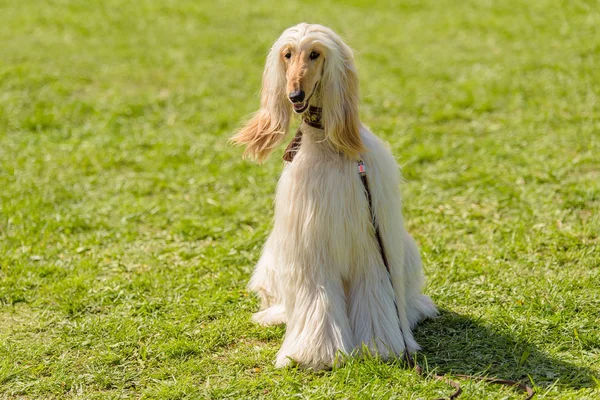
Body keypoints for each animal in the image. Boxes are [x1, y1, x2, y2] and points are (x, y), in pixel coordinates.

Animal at [231, 23, 436, 370]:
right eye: (287, 54)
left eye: (315, 54)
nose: (295, 95)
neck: (326, 145)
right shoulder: (311, 244)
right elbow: (319, 296)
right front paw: (316, 352)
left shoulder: (369, 242)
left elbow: (374, 291)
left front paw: (380, 345)